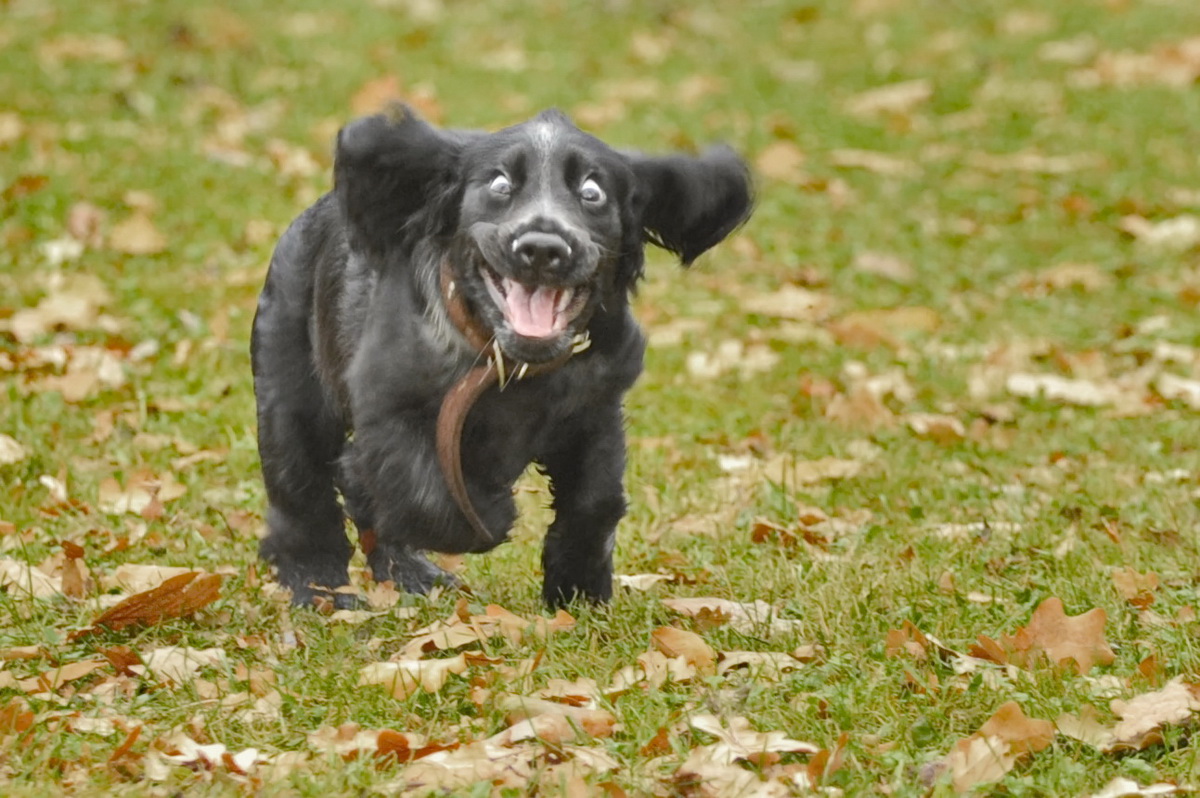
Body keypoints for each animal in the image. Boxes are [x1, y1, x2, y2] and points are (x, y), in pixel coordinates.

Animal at [252, 104, 748, 604]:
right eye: (500, 185)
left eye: (592, 192)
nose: (542, 248)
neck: (511, 364)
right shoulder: (390, 408)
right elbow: (425, 494)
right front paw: (491, 510)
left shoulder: (596, 409)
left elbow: (597, 498)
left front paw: (578, 589)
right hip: (289, 394)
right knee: (301, 495)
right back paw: (317, 585)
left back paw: (410, 575)